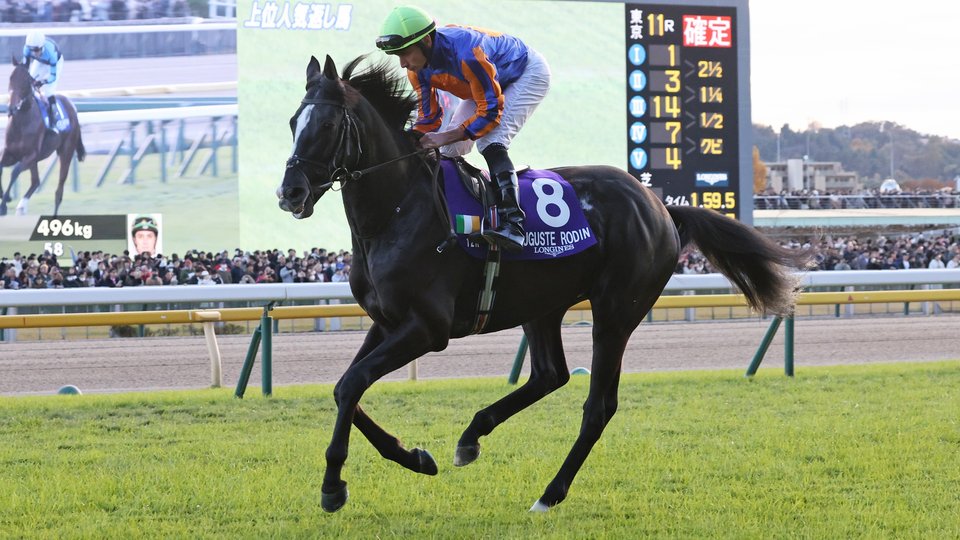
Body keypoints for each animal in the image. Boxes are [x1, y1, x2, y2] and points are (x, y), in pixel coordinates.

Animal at [0, 58, 86, 216]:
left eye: (26, 81)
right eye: (10, 78)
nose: (11, 108)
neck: (22, 122)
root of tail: (72, 107)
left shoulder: (30, 155)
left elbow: (14, 172)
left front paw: (4, 204)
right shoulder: (11, 153)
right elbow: (1, 168)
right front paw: (5, 198)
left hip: (65, 153)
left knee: (59, 191)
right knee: (36, 182)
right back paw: (21, 206)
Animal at [277, 54, 813, 513]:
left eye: (327, 126)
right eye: (292, 123)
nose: (290, 193)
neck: (397, 211)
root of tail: (659, 205)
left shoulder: (428, 328)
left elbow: (352, 385)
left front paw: (333, 487)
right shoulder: (386, 322)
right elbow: (345, 389)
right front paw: (414, 457)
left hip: (617, 310)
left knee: (598, 406)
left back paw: (550, 493)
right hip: (542, 304)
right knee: (550, 374)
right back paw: (472, 436)